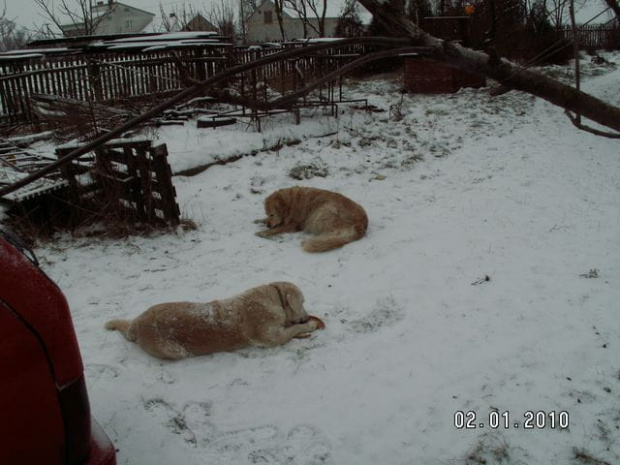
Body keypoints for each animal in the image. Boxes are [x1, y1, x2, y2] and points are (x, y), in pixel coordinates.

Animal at [103, 280, 324, 358]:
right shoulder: (271, 338)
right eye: (302, 302)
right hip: (175, 351)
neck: (272, 297)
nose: (306, 316)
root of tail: (138, 322)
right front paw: (311, 324)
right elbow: (291, 331)